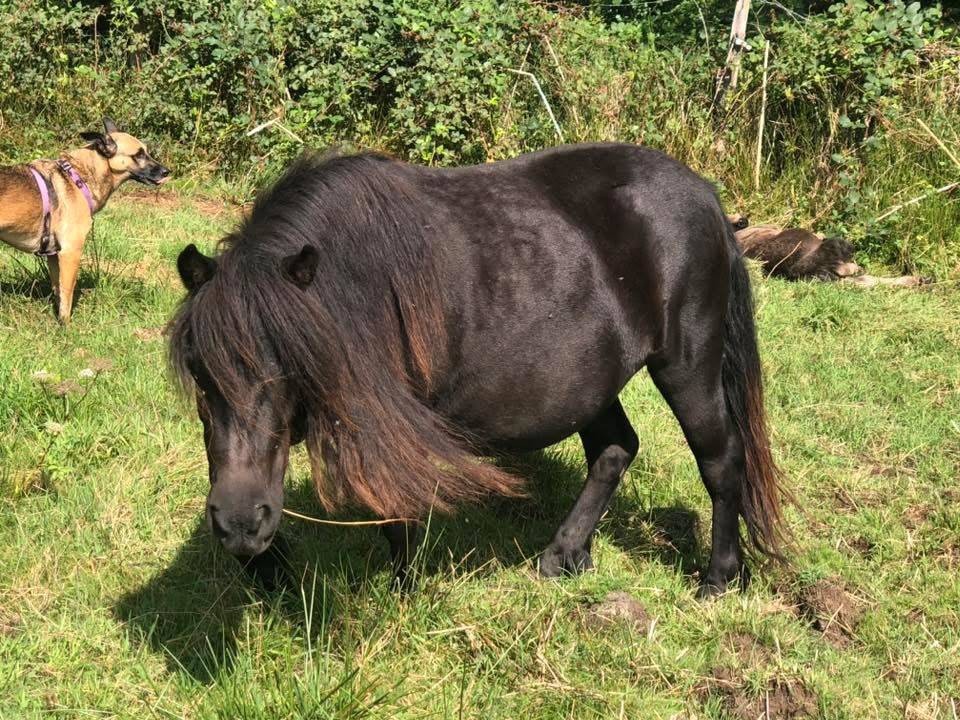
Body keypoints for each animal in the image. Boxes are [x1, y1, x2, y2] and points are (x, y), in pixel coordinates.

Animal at [169, 143, 787, 596]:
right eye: (199, 372)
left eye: (294, 365)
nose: (239, 524)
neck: (358, 280)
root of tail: (707, 196)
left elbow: (397, 509)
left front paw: (404, 592)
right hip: (592, 381)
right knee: (614, 449)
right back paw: (566, 554)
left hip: (688, 364)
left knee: (720, 458)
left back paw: (719, 577)